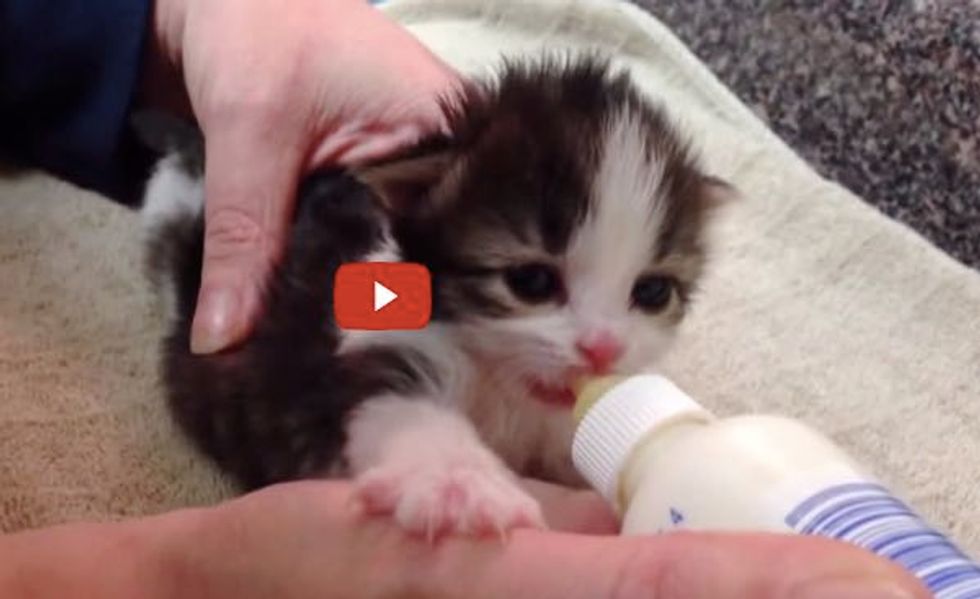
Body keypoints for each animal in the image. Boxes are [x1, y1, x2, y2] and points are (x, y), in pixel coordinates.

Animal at [142, 56, 732, 540]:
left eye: (652, 291)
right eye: (532, 282)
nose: (603, 349)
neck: (510, 395)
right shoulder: (384, 348)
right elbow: (405, 411)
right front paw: (458, 488)